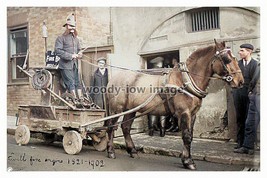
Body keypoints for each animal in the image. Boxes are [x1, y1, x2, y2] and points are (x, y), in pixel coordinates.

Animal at [105, 40, 245, 170]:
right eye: (227, 59)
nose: (240, 81)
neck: (185, 81)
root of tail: (112, 80)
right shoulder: (184, 113)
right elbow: (186, 136)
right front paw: (188, 162)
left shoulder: (193, 114)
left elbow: (190, 136)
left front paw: (186, 159)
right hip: (116, 110)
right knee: (111, 127)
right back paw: (111, 151)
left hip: (131, 110)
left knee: (125, 128)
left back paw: (132, 151)